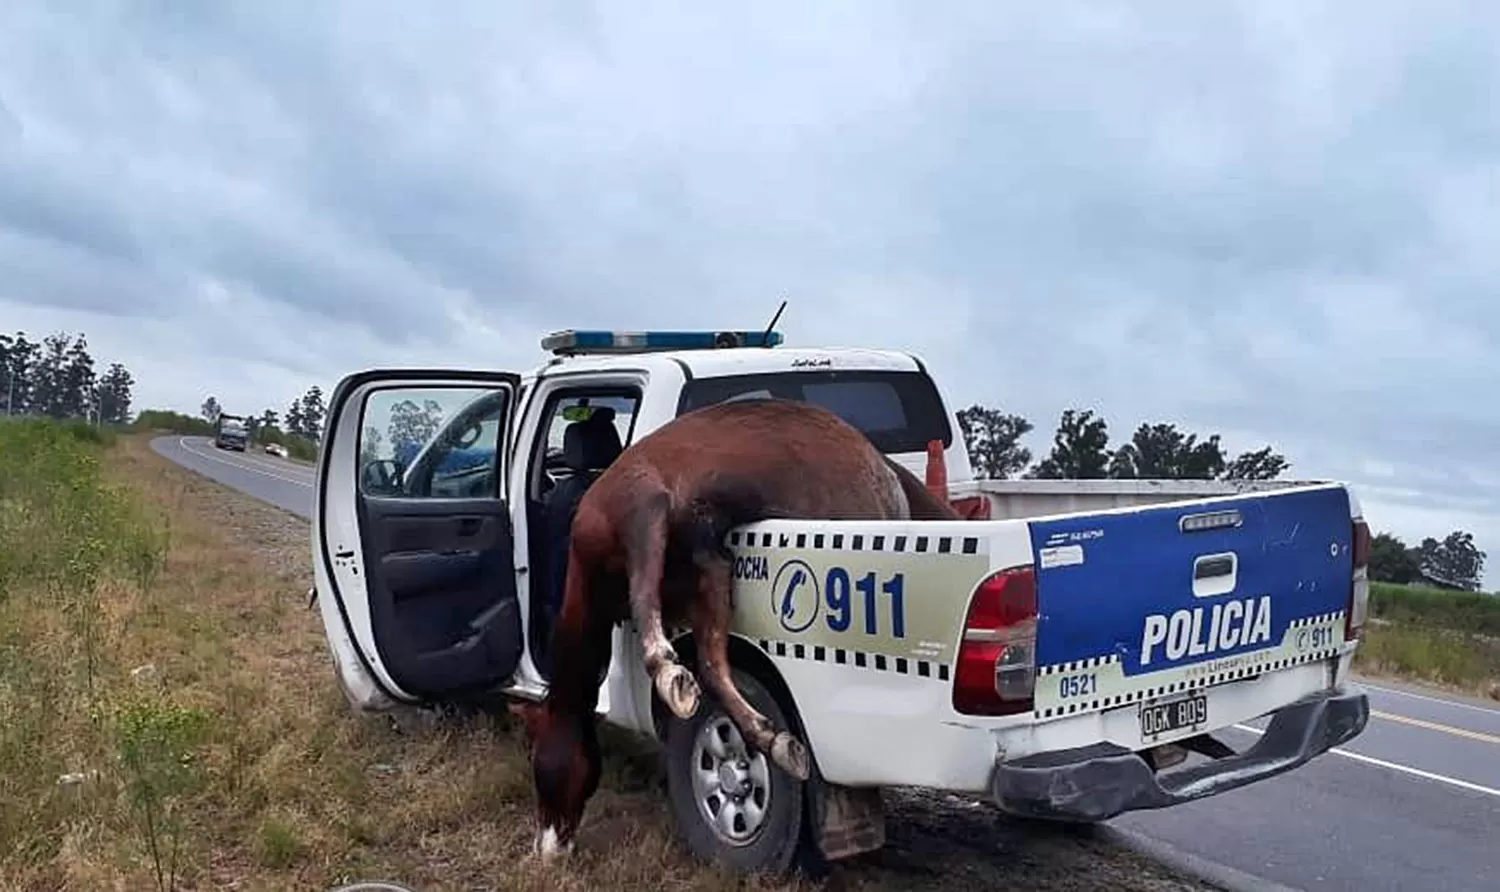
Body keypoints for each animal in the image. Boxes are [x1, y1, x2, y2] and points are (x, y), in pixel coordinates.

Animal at [510, 398, 954, 857]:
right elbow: (710, 664)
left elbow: (652, 612)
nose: (546, 847)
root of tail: (887, 467)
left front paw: (672, 676)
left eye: (539, 765)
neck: (592, 579)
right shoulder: (711, 568)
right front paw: (772, 739)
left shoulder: (641, 504)